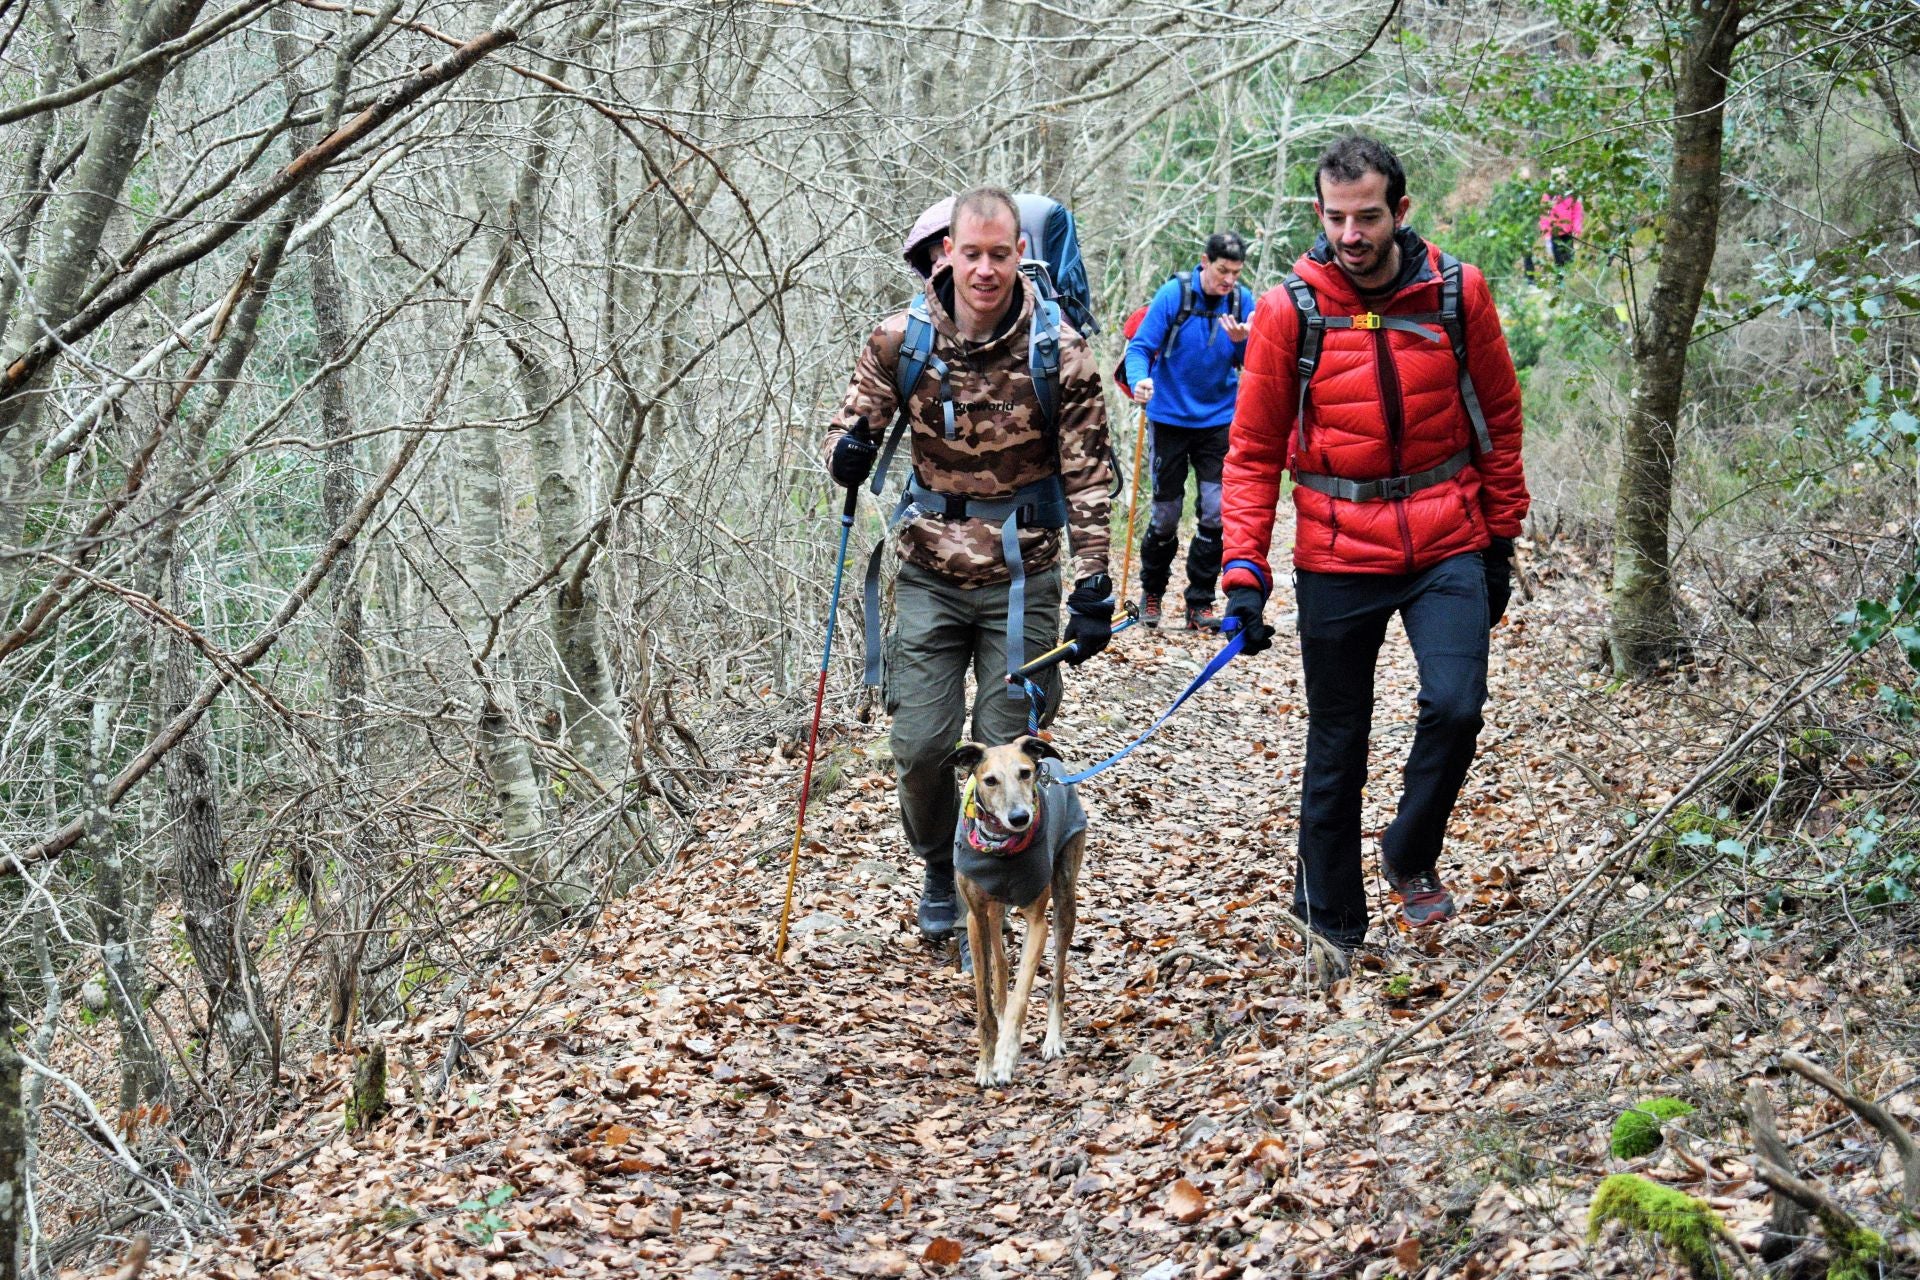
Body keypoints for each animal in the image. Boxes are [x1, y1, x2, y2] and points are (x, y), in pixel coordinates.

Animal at [940, 736, 1090, 1090]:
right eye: (990, 780)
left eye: (1025, 773)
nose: (1020, 817)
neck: (1001, 846)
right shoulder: (976, 919)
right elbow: (984, 1002)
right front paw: (985, 1063)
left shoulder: (1038, 924)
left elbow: (1021, 995)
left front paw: (1006, 1056)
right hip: (994, 915)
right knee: (1002, 963)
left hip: (1065, 901)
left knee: (1057, 980)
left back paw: (1052, 1039)